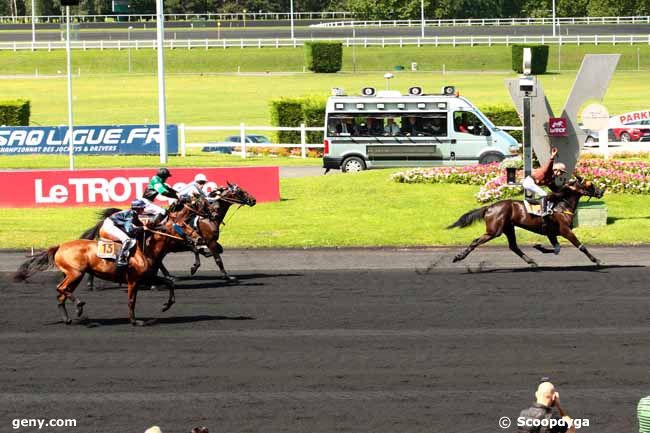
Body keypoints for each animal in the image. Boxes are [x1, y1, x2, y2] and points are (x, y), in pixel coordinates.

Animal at [13, 216, 196, 324]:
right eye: (183, 226)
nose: (197, 237)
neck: (147, 249)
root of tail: (60, 246)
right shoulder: (134, 280)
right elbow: (131, 301)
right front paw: (135, 321)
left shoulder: (148, 277)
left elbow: (169, 283)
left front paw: (166, 305)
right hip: (75, 273)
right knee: (61, 288)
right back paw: (79, 305)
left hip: (75, 275)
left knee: (61, 294)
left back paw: (69, 317)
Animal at [446, 176, 604, 266]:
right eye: (589, 184)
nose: (601, 191)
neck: (561, 206)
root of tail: (489, 207)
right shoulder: (565, 230)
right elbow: (581, 246)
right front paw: (597, 260)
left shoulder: (551, 233)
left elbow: (557, 249)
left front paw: (540, 247)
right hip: (494, 231)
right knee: (475, 241)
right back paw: (458, 257)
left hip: (508, 228)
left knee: (513, 246)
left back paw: (531, 261)